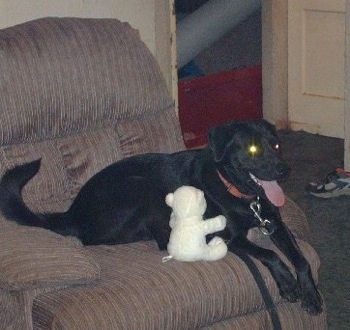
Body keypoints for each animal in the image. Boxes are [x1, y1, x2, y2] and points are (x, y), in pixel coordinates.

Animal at [0, 119, 322, 314]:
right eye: (254, 148)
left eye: (276, 144)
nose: (284, 170)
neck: (242, 194)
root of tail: (72, 213)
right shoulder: (225, 235)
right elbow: (269, 254)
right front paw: (287, 283)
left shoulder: (275, 223)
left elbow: (301, 259)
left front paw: (311, 293)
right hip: (141, 186)